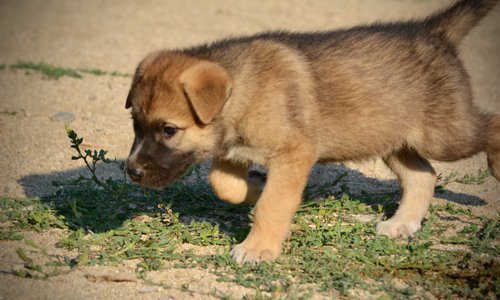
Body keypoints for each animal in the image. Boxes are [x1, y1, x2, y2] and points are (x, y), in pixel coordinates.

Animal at [126, 0, 500, 262]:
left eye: (169, 130)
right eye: (136, 125)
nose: (131, 172)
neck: (243, 90)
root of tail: (433, 32)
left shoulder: (294, 153)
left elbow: (273, 204)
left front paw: (258, 247)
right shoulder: (233, 152)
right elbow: (226, 186)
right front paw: (256, 188)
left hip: (443, 135)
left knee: (491, 125)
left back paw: (496, 165)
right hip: (392, 138)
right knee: (423, 176)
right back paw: (401, 224)